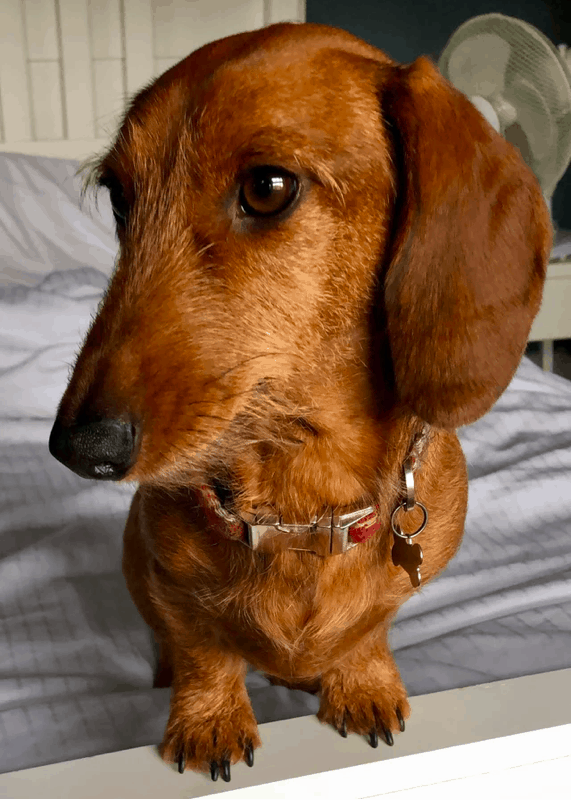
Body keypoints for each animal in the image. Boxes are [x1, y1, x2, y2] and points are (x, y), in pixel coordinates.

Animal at [50, 21, 556, 784]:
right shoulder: (169, 582)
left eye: (267, 188)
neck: (301, 496)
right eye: (118, 197)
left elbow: (369, 629)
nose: (78, 448)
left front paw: (361, 680)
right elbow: (201, 647)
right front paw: (208, 717)